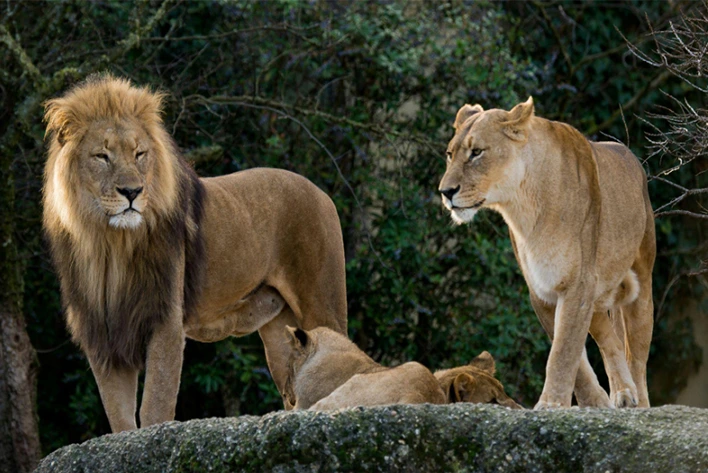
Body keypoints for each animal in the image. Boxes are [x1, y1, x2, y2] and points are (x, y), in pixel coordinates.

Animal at [42, 76, 348, 432]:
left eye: (140, 153)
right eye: (102, 156)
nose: (132, 192)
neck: (111, 245)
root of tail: (321, 192)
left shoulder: (165, 319)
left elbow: (155, 406)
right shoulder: (103, 330)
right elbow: (119, 416)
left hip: (321, 303)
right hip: (279, 329)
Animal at [440, 98, 656, 410]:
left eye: (477, 152)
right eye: (450, 154)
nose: (445, 191)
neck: (524, 206)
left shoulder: (577, 285)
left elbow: (563, 352)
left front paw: (552, 404)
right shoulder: (542, 290)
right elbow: (573, 359)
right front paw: (591, 402)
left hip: (640, 283)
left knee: (637, 354)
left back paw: (638, 400)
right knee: (611, 339)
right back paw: (623, 392)